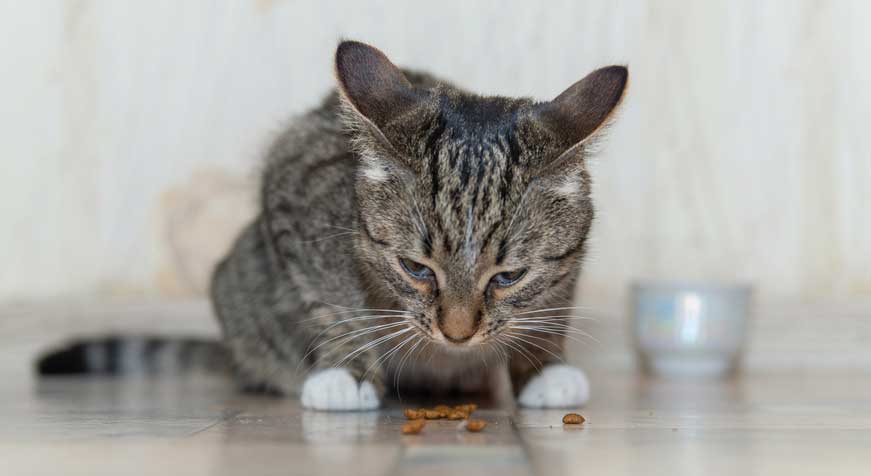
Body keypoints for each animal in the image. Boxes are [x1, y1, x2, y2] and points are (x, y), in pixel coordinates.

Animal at [39, 41, 628, 412]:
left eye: (508, 277)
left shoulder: (569, 263)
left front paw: (546, 368)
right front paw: (346, 373)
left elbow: (552, 307)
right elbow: (334, 302)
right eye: (415, 268)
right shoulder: (293, 196)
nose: (457, 334)